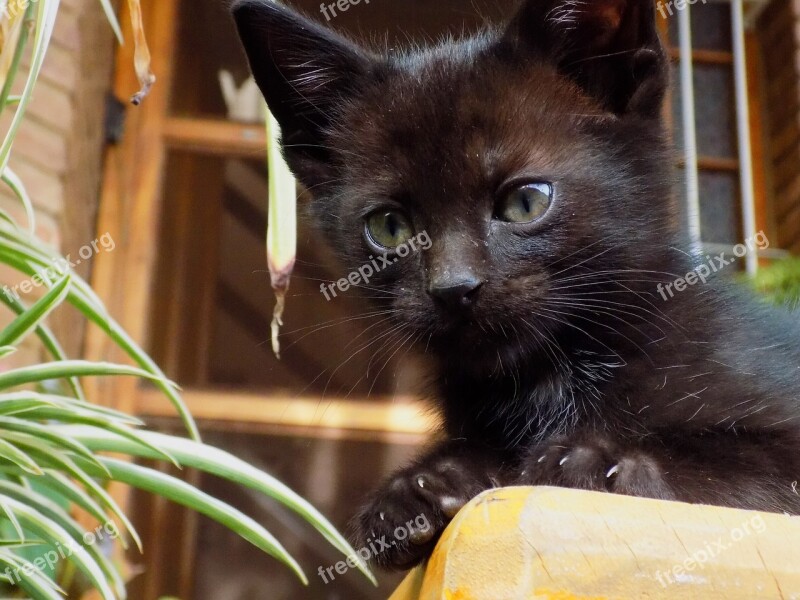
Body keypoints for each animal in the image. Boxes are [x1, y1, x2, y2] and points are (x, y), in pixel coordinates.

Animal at [234, 0, 800, 572]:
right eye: (389, 227)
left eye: (526, 201)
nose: (453, 287)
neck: (548, 377)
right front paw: (422, 487)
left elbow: (747, 464)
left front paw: (601, 463)